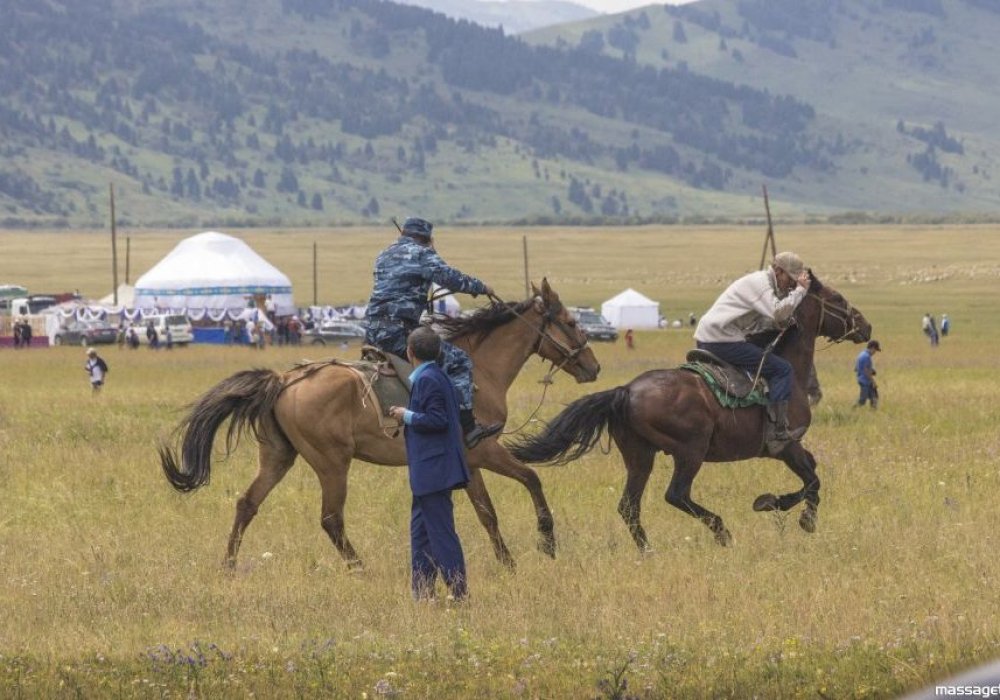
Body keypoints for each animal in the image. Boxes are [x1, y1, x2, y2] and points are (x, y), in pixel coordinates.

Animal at [161, 278, 600, 568]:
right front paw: (544, 542)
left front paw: (508, 559)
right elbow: (527, 482)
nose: (593, 366)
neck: (480, 368)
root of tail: (285, 380)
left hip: (278, 457)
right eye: (570, 322)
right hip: (332, 464)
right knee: (331, 518)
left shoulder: (469, 462)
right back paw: (359, 567)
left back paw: (229, 564)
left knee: (247, 503)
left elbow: (486, 510)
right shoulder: (483, 450)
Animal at [512, 272, 872, 548]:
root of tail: (626, 391)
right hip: (690, 451)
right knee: (676, 495)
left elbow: (813, 475)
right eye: (837, 298)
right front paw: (777, 505)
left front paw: (800, 514)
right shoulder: (785, 445)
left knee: (629, 506)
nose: (865, 326)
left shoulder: (789, 448)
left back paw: (647, 551)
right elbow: (812, 480)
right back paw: (722, 532)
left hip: (640, 456)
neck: (791, 371)